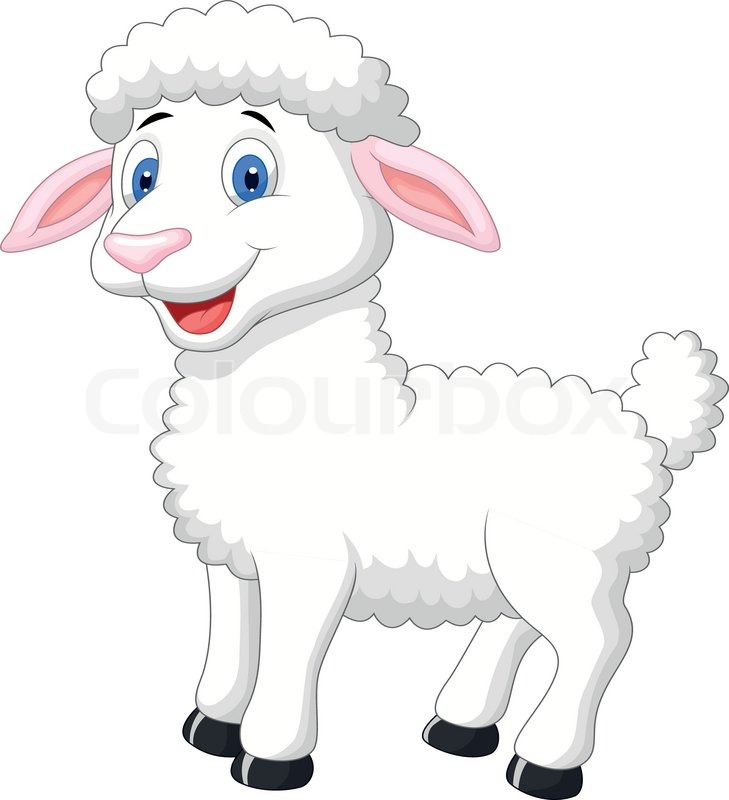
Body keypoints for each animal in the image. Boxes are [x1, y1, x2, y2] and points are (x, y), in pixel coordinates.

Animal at [2, 2, 726, 798]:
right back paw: (461, 727)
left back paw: (543, 762)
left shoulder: (308, 557)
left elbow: (288, 654)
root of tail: (641, 419)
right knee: (522, 625)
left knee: (599, 639)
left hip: (565, 555)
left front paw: (269, 758)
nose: (141, 249)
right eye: (141, 175)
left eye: (251, 175)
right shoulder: (228, 554)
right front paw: (211, 726)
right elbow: (231, 641)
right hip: (528, 556)